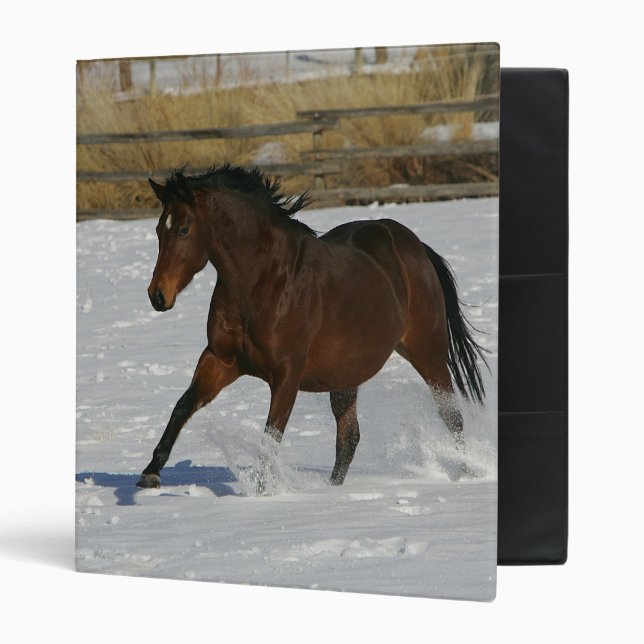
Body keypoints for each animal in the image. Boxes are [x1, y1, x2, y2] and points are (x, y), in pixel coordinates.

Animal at [136, 164, 486, 491]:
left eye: (184, 230)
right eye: (159, 229)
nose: (157, 295)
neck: (261, 281)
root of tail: (415, 246)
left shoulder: (286, 376)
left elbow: (271, 437)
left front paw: (263, 493)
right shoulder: (220, 360)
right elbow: (182, 407)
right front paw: (150, 473)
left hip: (427, 353)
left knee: (452, 417)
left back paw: (465, 473)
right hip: (346, 375)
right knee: (349, 439)